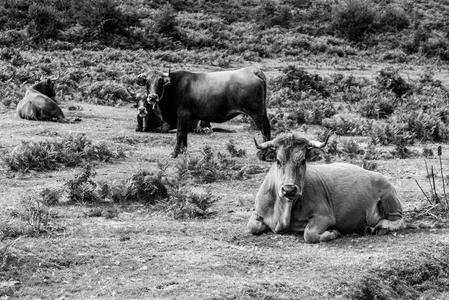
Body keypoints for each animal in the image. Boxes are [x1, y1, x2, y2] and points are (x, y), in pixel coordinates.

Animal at [136, 67, 270, 158]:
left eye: (160, 81)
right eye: (147, 81)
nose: (152, 97)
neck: (174, 86)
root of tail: (253, 70)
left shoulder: (182, 115)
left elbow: (179, 133)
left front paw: (174, 153)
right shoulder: (187, 118)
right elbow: (184, 134)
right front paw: (184, 152)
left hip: (257, 112)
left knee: (265, 129)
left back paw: (265, 153)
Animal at [248, 132, 406, 243]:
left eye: (303, 160)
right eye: (278, 161)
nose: (289, 189)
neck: (283, 210)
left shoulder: (325, 217)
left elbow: (309, 234)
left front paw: (333, 232)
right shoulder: (258, 212)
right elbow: (252, 227)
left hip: (389, 197)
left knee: (399, 221)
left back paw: (379, 227)